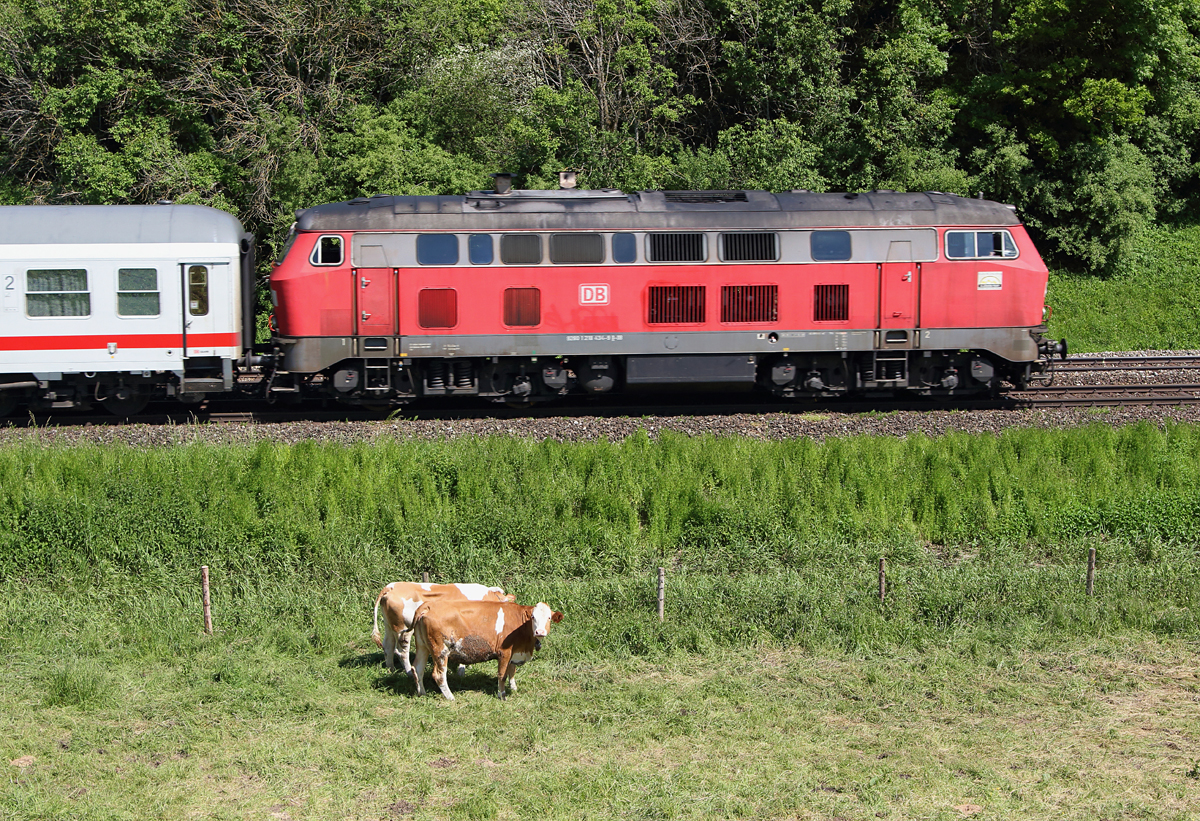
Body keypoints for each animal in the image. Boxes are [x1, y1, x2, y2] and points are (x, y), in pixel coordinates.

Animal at [369, 576, 511, 672]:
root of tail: (391, 586)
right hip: (403, 629)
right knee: (401, 652)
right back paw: (408, 672)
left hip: (389, 625)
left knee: (388, 646)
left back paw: (391, 669)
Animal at [412, 595, 561, 700]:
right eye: (533, 617)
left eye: (549, 618)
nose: (540, 632)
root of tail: (429, 605)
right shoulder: (504, 652)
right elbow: (502, 675)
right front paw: (502, 695)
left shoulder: (514, 652)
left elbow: (512, 671)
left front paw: (514, 688)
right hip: (440, 650)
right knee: (439, 675)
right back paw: (450, 697)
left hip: (422, 646)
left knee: (418, 668)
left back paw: (421, 693)